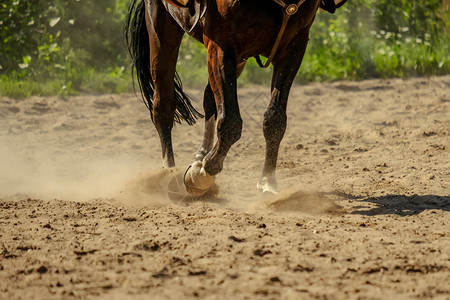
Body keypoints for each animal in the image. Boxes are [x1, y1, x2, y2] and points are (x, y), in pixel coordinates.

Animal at [125, 0, 346, 195]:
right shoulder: (221, 47)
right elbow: (231, 122)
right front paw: (202, 175)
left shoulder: (293, 48)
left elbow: (275, 119)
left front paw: (267, 181)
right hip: (162, 32)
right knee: (163, 106)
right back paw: (170, 172)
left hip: (239, 61)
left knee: (209, 99)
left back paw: (200, 155)